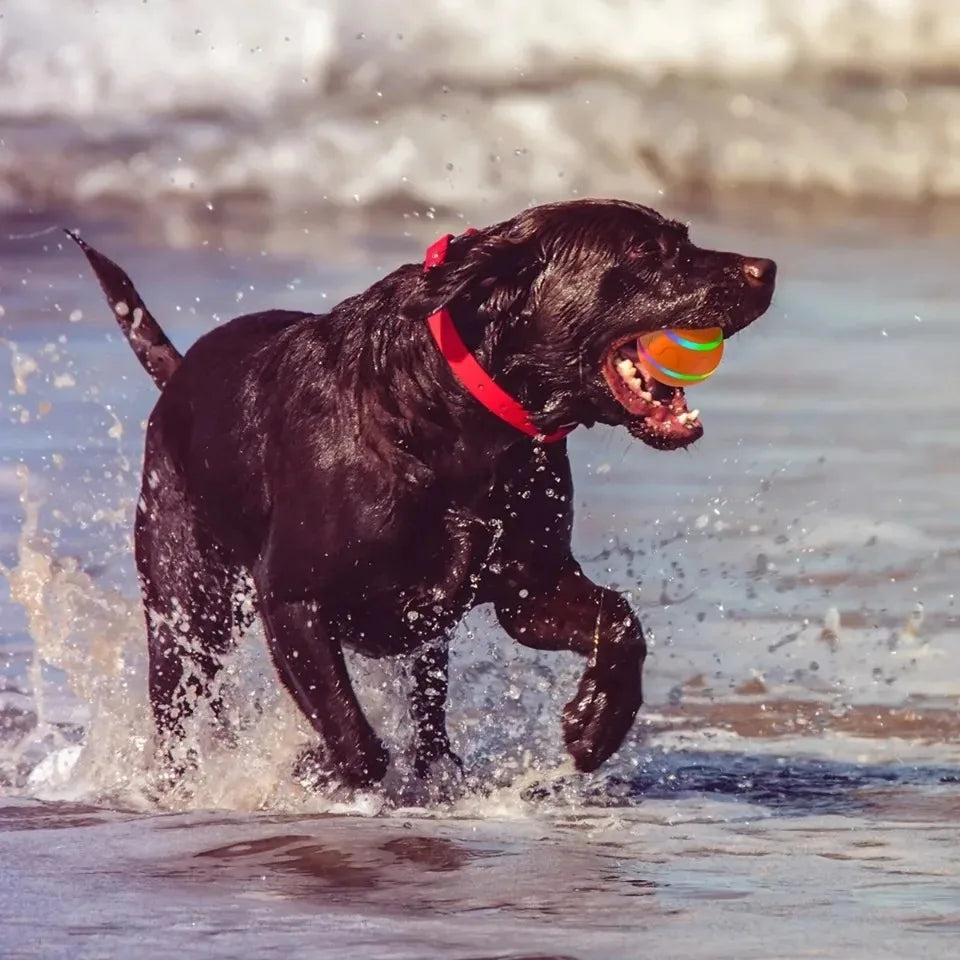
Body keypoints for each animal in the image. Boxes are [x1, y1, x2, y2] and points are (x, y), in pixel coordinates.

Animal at [71, 197, 776, 788]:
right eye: (646, 252)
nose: (766, 268)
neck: (458, 421)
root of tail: (178, 374)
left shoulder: (529, 587)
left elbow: (620, 621)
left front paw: (597, 722)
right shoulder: (292, 598)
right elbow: (353, 738)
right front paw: (313, 768)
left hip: (422, 643)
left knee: (429, 708)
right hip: (187, 608)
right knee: (179, 707)